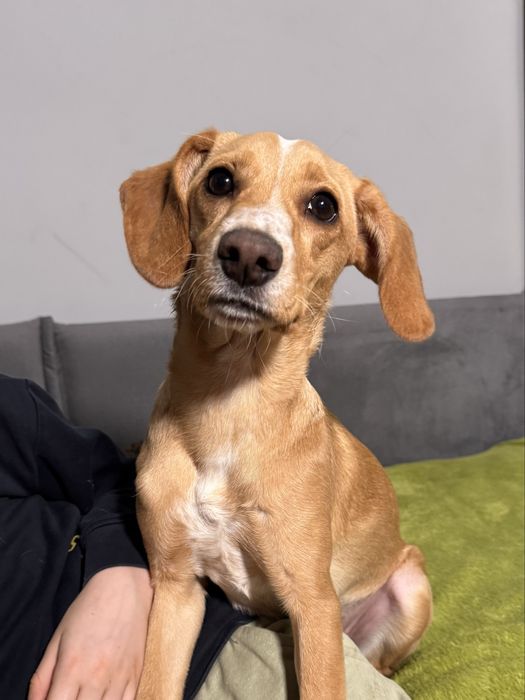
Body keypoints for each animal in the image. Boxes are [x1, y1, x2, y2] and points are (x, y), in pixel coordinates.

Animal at [120, 129, 434, 700]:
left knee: (380, 666)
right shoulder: (177, 587)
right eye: (220, 179)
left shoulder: (313, 604)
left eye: (324, 206)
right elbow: (156, 684)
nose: (248, 253)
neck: (230, 405)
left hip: (409, 585)